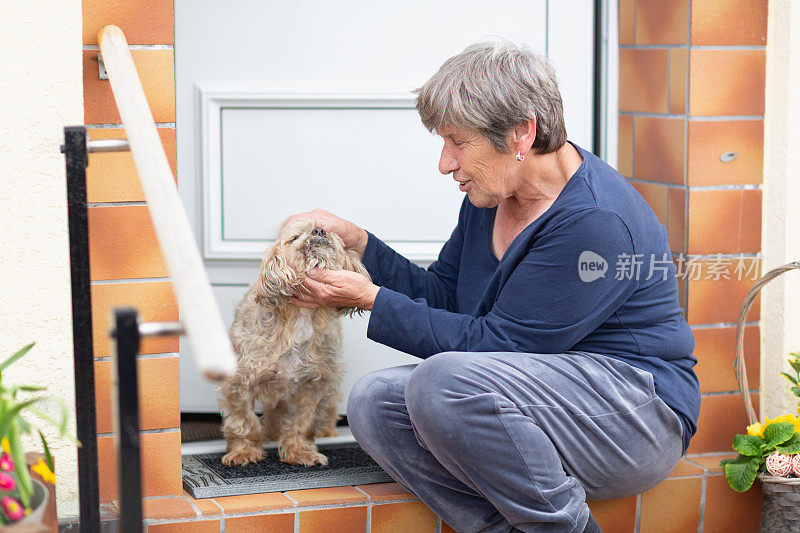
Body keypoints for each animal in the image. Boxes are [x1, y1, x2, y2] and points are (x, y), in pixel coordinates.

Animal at [219, 218, 368, 464]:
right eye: (294, 237)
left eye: (332, 233)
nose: (319, 230)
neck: (300, 318)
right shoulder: (240, 381)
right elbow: (244, 421)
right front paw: (244, 452)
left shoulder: (316, 384)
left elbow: (305, 422)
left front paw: (300, 452)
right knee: (274, 408)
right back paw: (271, 432)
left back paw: (327, 430)